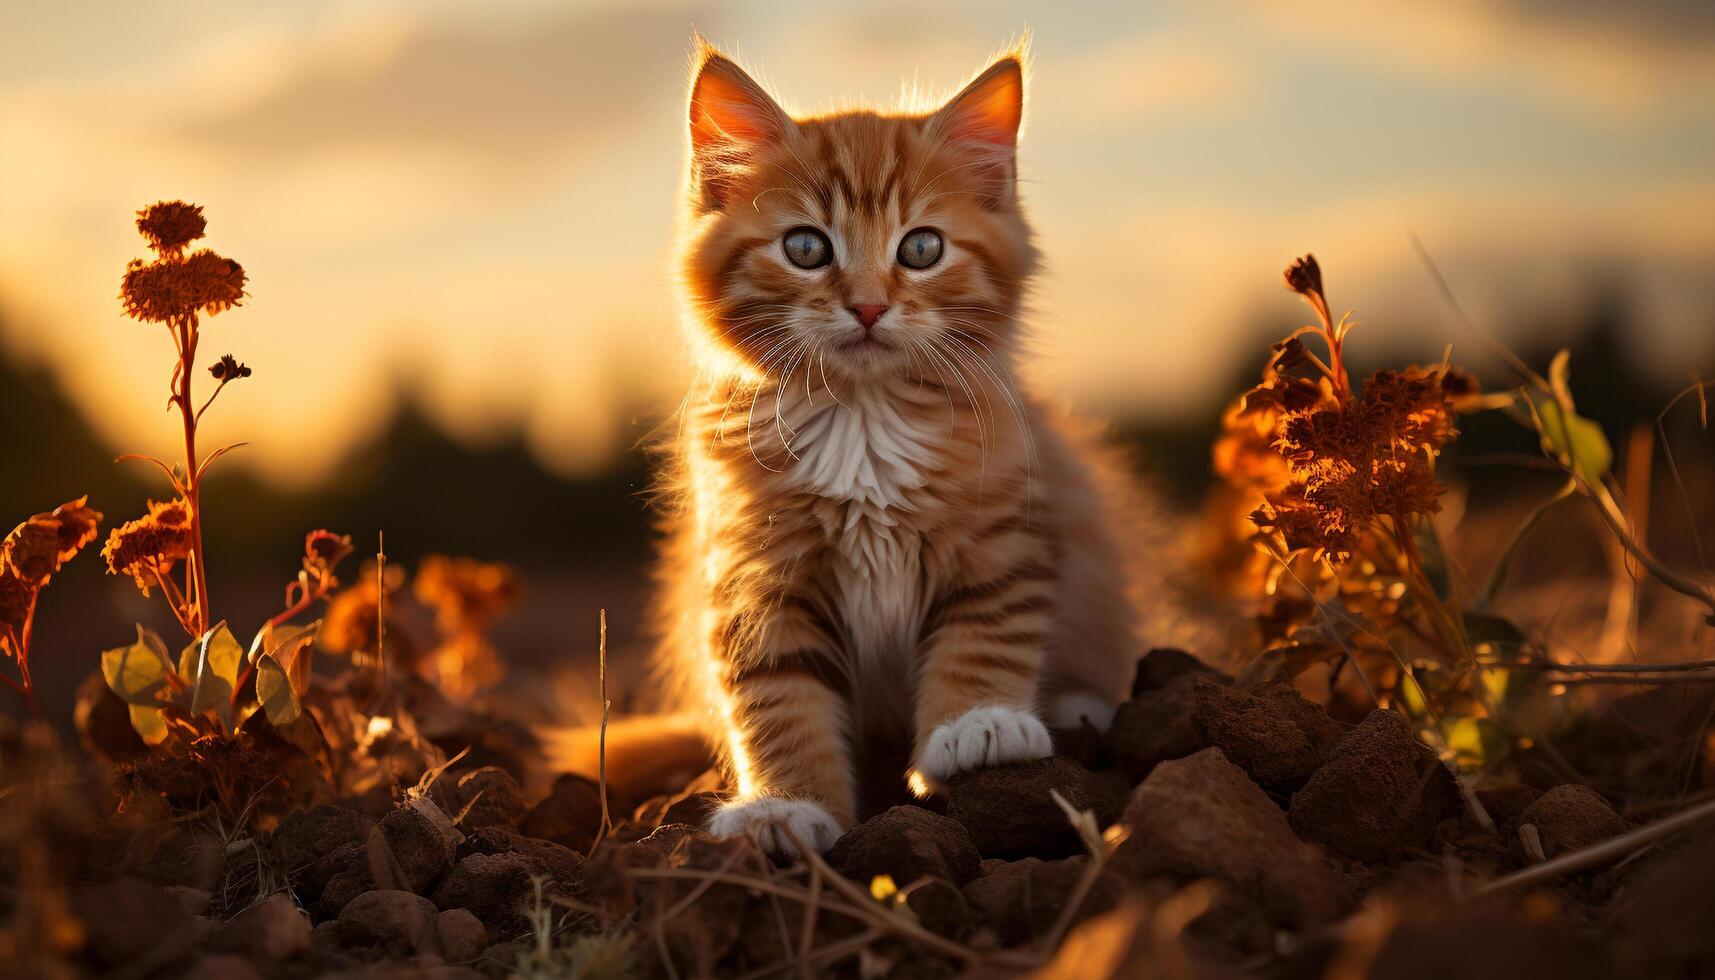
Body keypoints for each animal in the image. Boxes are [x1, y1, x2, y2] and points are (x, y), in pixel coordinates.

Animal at [655, 42, 1166, 854]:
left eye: (921, 248)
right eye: (805, 247)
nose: (867, 305)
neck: (864, 420)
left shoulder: (1004, 535)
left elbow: (985, 631)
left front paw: (978, 726)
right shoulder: (754, 577)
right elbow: (776, 697)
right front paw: (787, 806)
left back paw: (1076, 708)